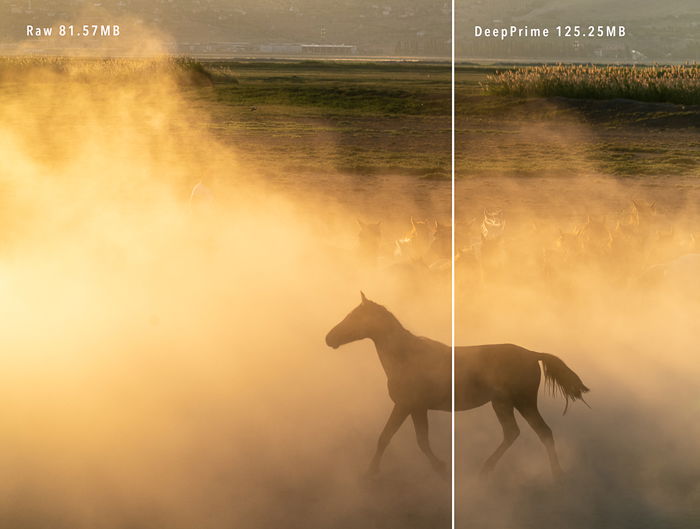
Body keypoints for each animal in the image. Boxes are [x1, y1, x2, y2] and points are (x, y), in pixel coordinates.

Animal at [326, 292, 588, 478]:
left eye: (355, 317)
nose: (329, 338)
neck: (406, 356)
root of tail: (532, 354)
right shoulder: (410, 407)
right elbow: (393, 437)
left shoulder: (410, 406)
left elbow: (409, 439)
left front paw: (439, 468)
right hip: (514, 403)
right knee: (537, 432)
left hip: (512, 403)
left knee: (523, 432)